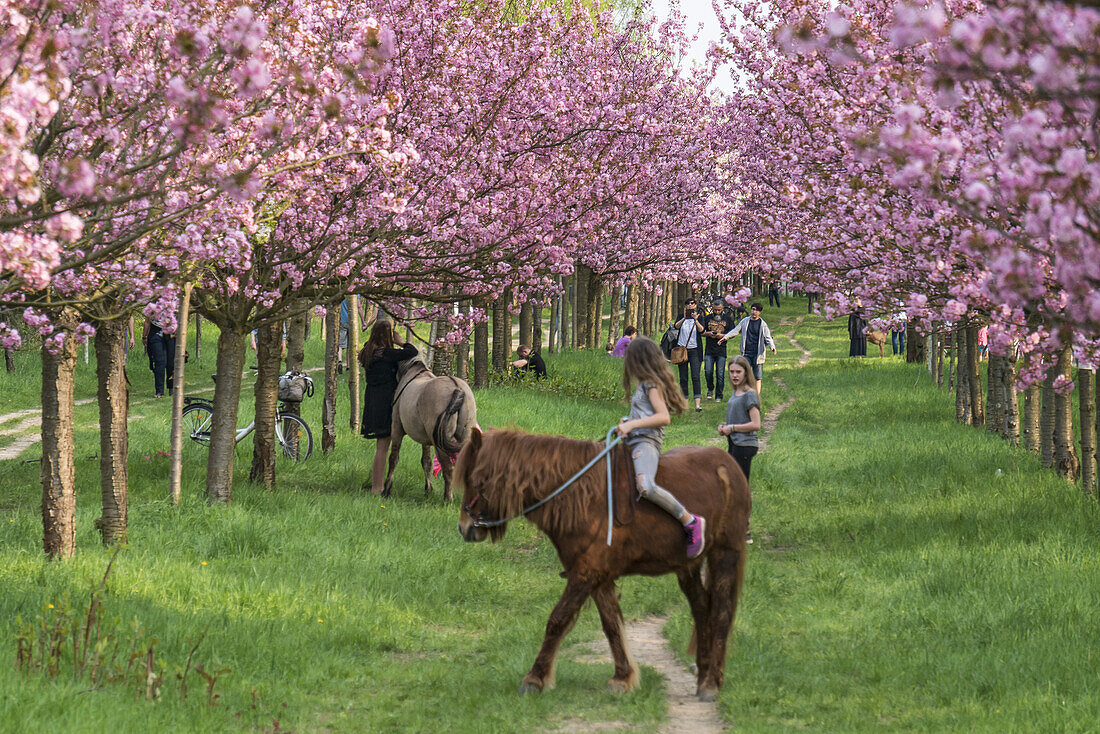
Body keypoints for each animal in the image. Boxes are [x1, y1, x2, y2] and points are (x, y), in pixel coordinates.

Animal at [385, 358, 475, 501]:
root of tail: (457, 388)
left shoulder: (396, 428)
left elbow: (393, 458)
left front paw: (387, 489)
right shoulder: (425, 440)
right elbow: (426, 461)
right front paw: (428, 489)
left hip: (440, 444)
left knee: (448, 468)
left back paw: (447, 498)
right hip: (464, 436)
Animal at [451, 431, 752, 699]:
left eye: (475, 480)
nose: (465, 528)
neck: (580, 496)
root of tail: (729, 467)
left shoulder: (586, 574)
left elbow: (557, 621)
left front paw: (535, 678)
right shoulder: (596, 575)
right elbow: (611, 625)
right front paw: (623, 677)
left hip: (725, 554)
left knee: (721, 613)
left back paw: (711, 683)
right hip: (687, 566)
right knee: (701, 609)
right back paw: (703, 675)